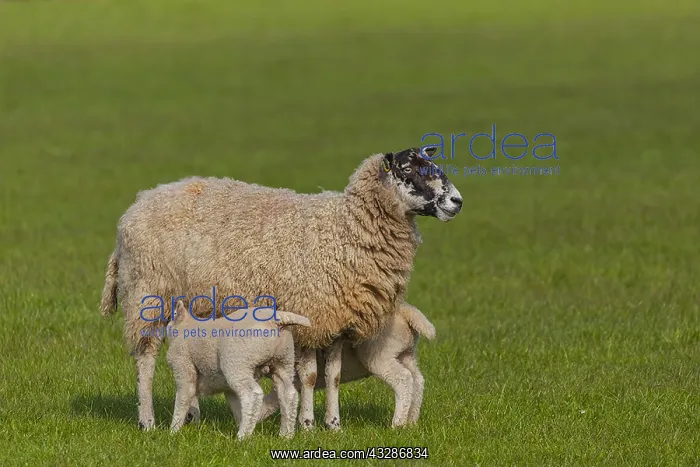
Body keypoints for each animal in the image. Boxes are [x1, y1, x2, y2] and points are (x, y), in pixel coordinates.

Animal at [166, 300, 310, 439]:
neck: (185, 327)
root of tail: (277, 319)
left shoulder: (182, 365)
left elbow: (183, 398)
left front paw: (173, 432)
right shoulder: (227, 388)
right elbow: (236, 406)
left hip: (237, 362)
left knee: (252, 395)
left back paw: (242, 437)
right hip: (283, 362)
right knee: (288, 394)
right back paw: (285, 435)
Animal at [242, 301, 436, 428]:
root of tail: (407, 312)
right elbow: (271, 403)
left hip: (381, 354)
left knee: (403, 379)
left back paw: (397, 423)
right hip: (406, 353)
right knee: (418, 380)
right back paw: (412, 421)